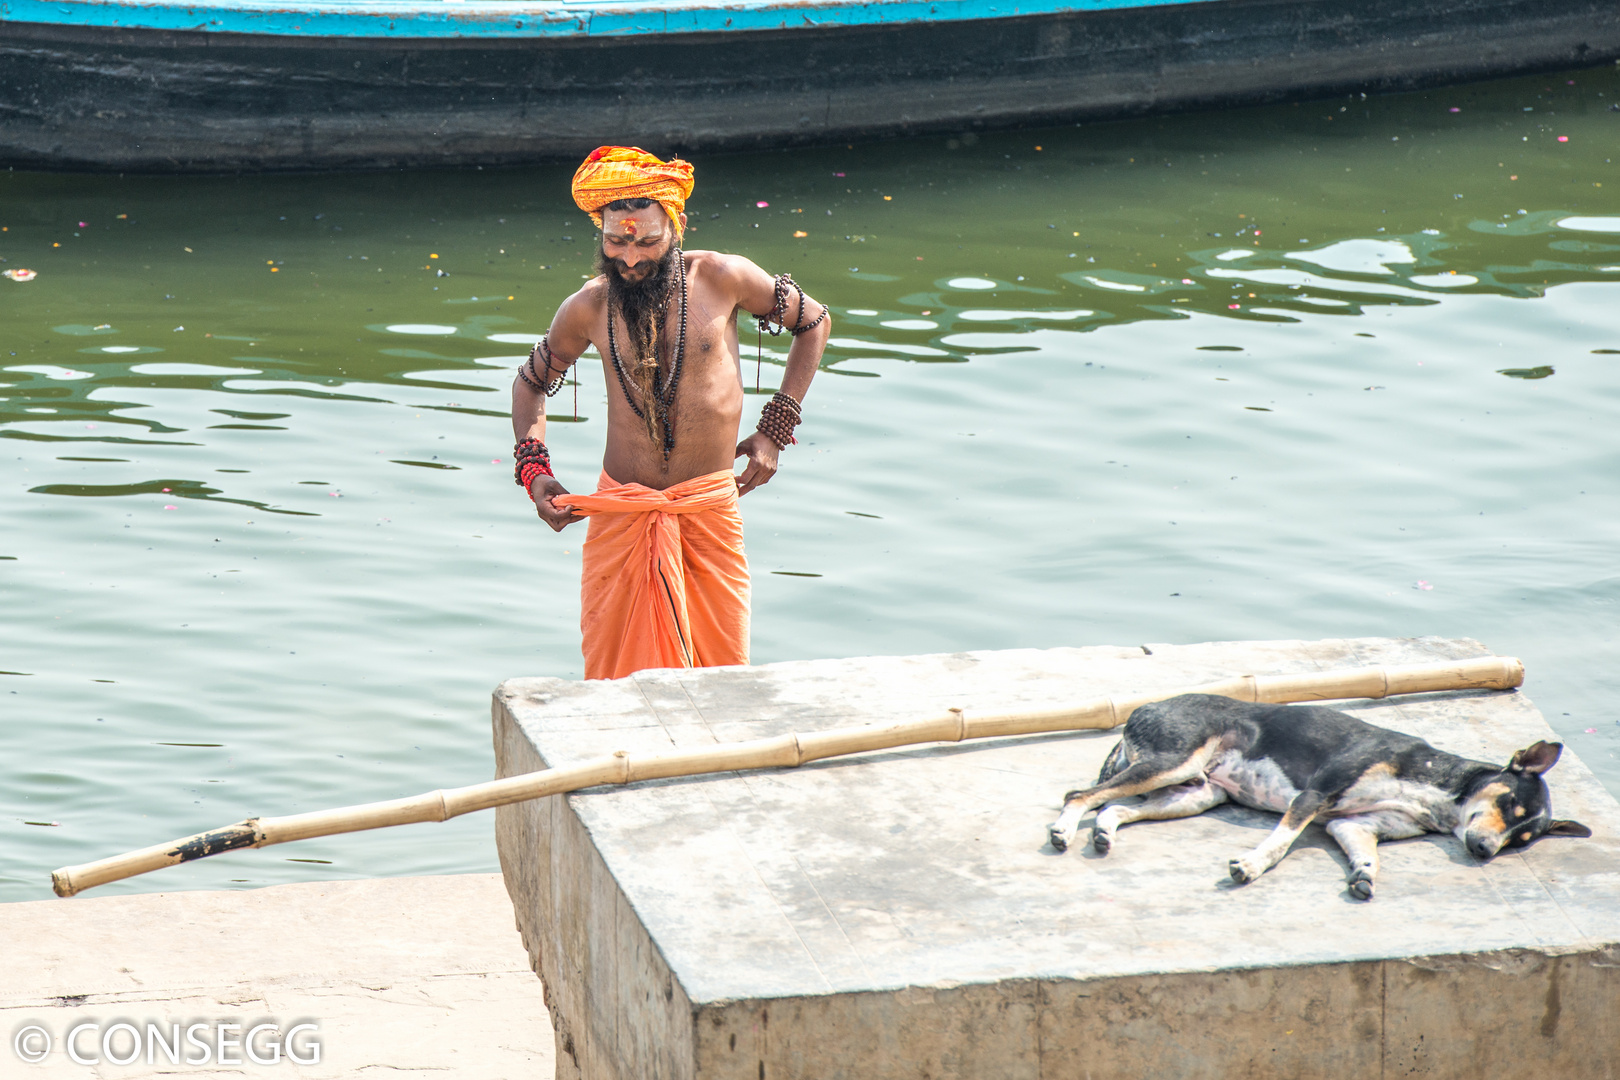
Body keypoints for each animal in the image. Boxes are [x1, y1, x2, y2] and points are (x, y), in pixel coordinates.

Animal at [1043, 693, 1587, 893]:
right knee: (1078, 796)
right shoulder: (1313, 797)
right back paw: (1064, 832)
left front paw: (1364, 875)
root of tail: (1145, 707)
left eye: (1520, 840)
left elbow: (1368, 856)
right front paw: (1251, 866)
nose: (1483, 850)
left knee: (1113, 806)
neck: (1435, 786)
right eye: (1507, 804)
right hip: (1171, 764)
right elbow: (1279, 843)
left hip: (1192, 794)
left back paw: (1104, 836)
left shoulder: (1353, 824)